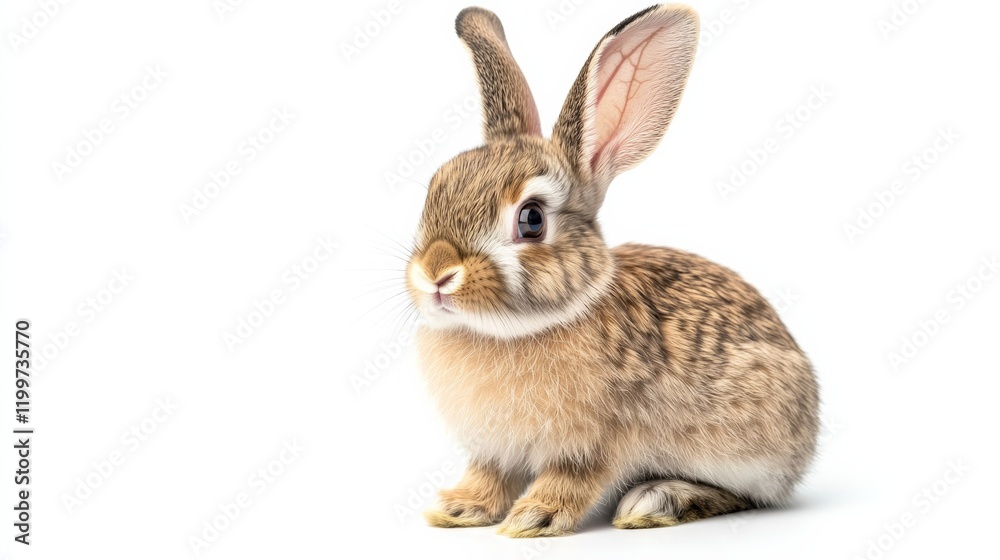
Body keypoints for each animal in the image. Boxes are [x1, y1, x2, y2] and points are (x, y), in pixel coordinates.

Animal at [404, 4, 819, 537]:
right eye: (435, 189)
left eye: (531, 219)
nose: (435, 273)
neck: (511, 331)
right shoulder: (493, 451)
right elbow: (488, 476)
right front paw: (457, 508)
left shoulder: (597, 444)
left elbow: (573, 479)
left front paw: (533, 517)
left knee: (748, 496)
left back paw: (658, 500)